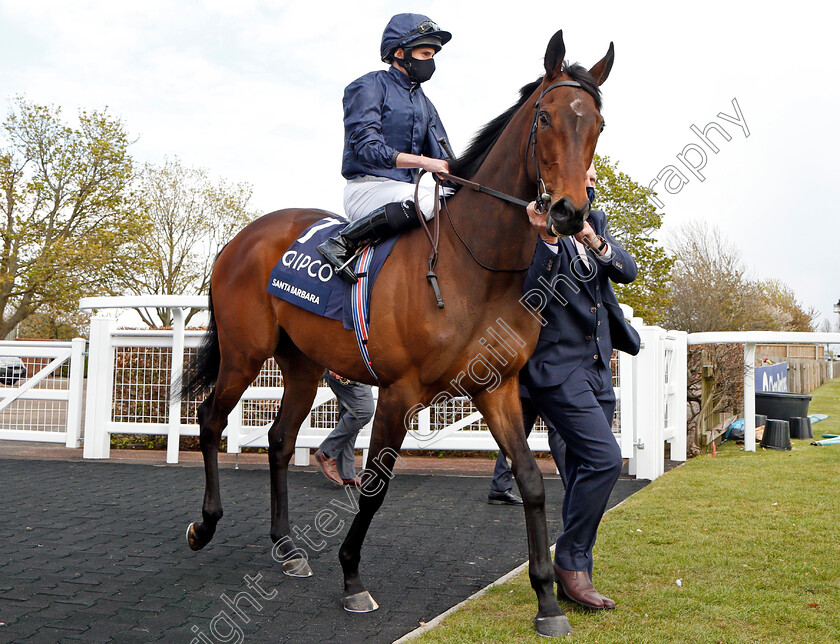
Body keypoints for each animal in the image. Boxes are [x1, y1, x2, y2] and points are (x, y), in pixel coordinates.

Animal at [184, 28, 612, 632]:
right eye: (547, 117)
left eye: (598, 124)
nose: (571, 213)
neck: (474, 265)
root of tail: (240, 239)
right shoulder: (399, 392)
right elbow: (373, 487)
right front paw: (352, 579)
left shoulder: (498, 388)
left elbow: (530, 479)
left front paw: (548, 601)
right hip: (246, 353)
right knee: (210, 419)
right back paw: (205, 525)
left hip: (302, 364)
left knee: (279, 439)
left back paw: (287, 548)